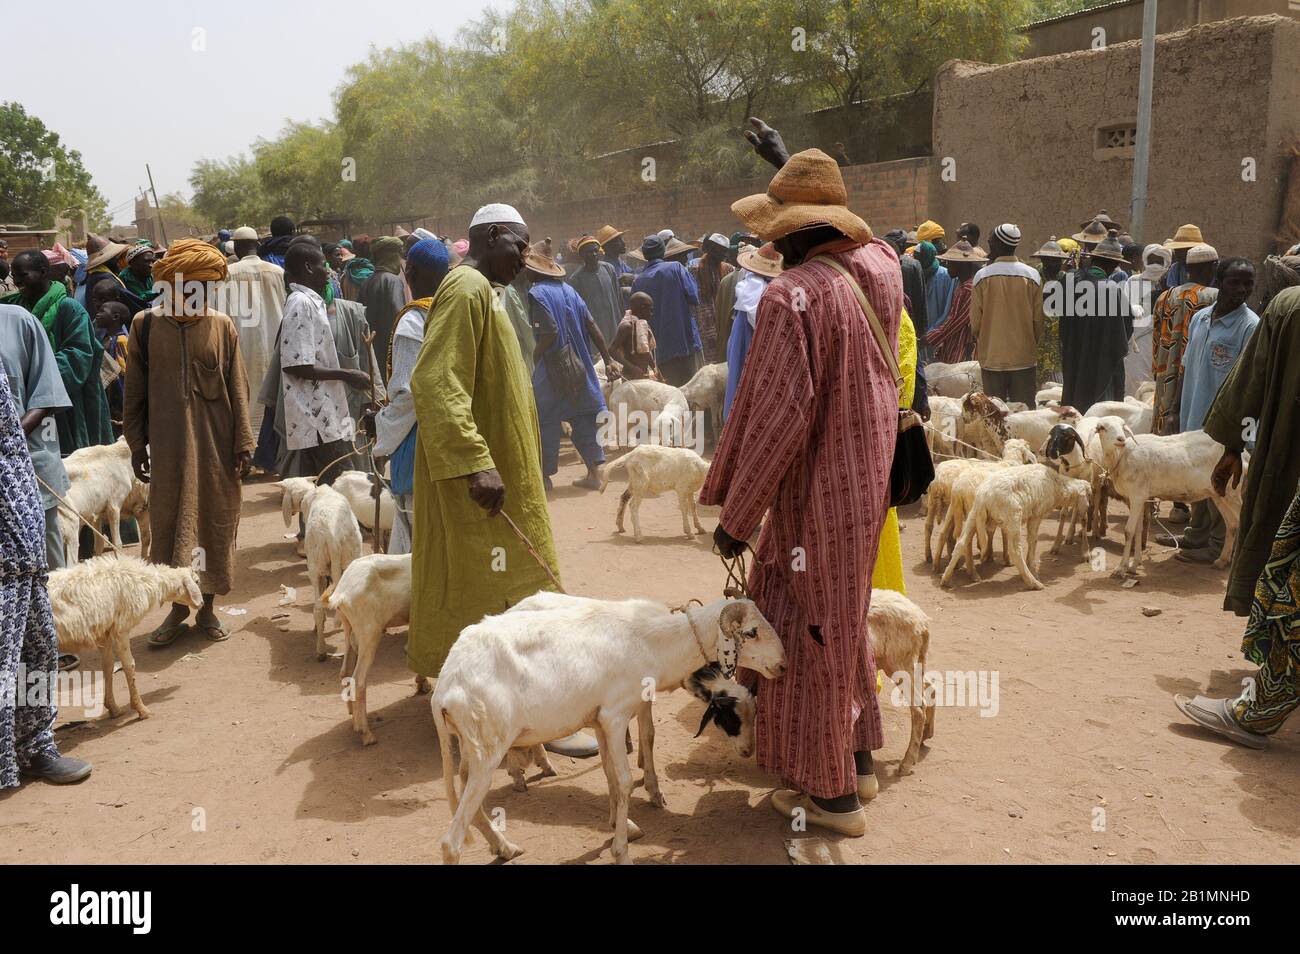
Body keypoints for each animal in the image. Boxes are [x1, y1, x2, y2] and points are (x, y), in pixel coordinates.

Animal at [49, 556, 201, 722]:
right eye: (197, 581)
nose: (202, 603)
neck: (147, 580)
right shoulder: (122, 629)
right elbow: (129, 665)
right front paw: (141, 709)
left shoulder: (105, 633)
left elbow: (108, 665)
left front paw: (113, 708)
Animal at [276, 480, 364, 660]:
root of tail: (333, 535)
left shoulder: (320, 570)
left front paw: (319, 625)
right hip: (352, 555)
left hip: (316, 563)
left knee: (317, 607)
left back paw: (321, 651)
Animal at [431, 597, 785, 868]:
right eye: (752, 632)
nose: (783, 665)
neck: (654, 642)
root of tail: (446, 685)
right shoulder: (616, 717)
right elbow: (626, 780)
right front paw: (622, 852)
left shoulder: (601, 721)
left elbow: (611, 775)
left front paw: (620, 825)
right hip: (488, 749)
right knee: (450, 841)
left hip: (474, 747)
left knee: (466, 794)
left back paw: (504, 847)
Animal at [1092, 421, 1242, 579]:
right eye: (1102, 428)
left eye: (1122, 425)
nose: (1121, 439)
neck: (1122, 455)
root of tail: (1244, 454)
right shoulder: (1140, 498)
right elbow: (1139, 529)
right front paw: (1134, 565)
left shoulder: (1136, 496)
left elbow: (1128, 531)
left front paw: (1121, 568)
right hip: (1219, 494)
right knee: (1232, 524)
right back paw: (1222, 561)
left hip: (1234, 492)